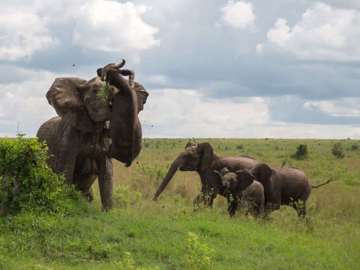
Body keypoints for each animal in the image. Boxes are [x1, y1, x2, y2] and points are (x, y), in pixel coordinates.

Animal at [37, 60, 148, 210]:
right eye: (95, 91)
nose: (102, 70)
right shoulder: (68, 136)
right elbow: (66, 170)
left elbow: (107, 173)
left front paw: (108, 212)